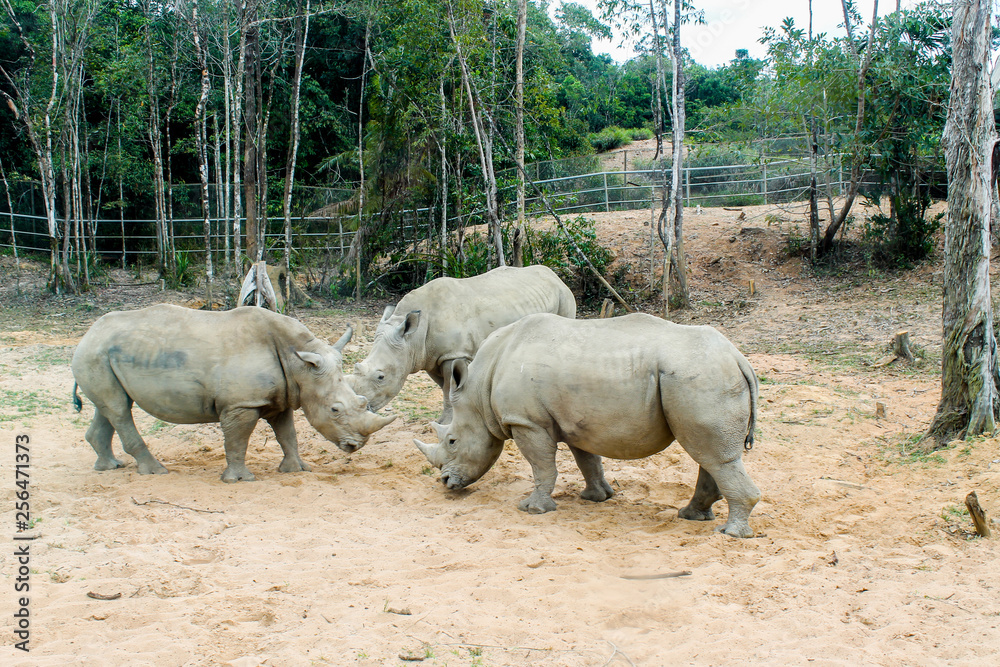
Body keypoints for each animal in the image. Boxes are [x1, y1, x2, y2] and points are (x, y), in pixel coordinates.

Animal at [71, 304, 396, 482]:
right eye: (335, 410)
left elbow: (287, 434)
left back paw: (110, 467)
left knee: (110, 407)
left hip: (102, 355)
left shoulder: (282, 397)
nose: (356, 446)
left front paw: (298, 470)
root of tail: (88, 334)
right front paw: (240, 480)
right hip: (94, 353)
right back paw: (156, 472)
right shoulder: (242, 403)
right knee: (119, 410)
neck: (300, 364)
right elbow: (238, 439)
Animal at [351, 265, 576, 422]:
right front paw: (445, 419)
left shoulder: (455, 353)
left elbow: (449, 387)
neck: (412, 338)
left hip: (564, 295)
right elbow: (445, 388)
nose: (362, 409)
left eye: (380, 377)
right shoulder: (431, 356)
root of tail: (555, 275)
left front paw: (446, 422)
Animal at [415, 312, 762, 537]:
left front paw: (532, 509)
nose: (445, 482)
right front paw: (597, 498)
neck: (479, 389)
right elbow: (587, 460)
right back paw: (692, 516)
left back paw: (729, 533)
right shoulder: (574, 422)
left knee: (711, 455)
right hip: (704, 376)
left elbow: (542, 466)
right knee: (712, 454)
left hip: (699, 377)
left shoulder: (527, 422)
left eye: (452, 441)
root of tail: (738, 358)